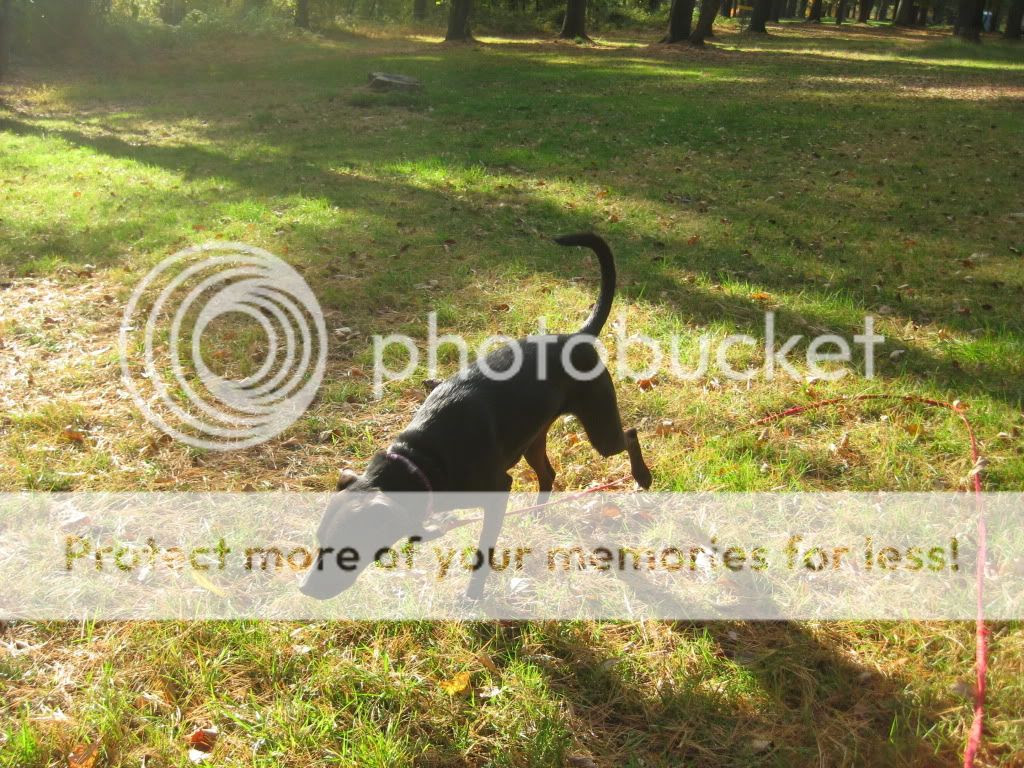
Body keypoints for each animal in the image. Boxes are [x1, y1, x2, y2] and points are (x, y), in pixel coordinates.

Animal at [299, 233, 652, 601]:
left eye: (347, 551)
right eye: (319, 540)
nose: (304, 589)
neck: (422, 458)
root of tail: (577, 337)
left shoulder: (498, 489)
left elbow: (484, 550)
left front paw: (473, 592)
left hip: (601, 430)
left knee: (629, 434)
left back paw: (642, 476)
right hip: (532, 439)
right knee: (549, 473)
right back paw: (540, 511)